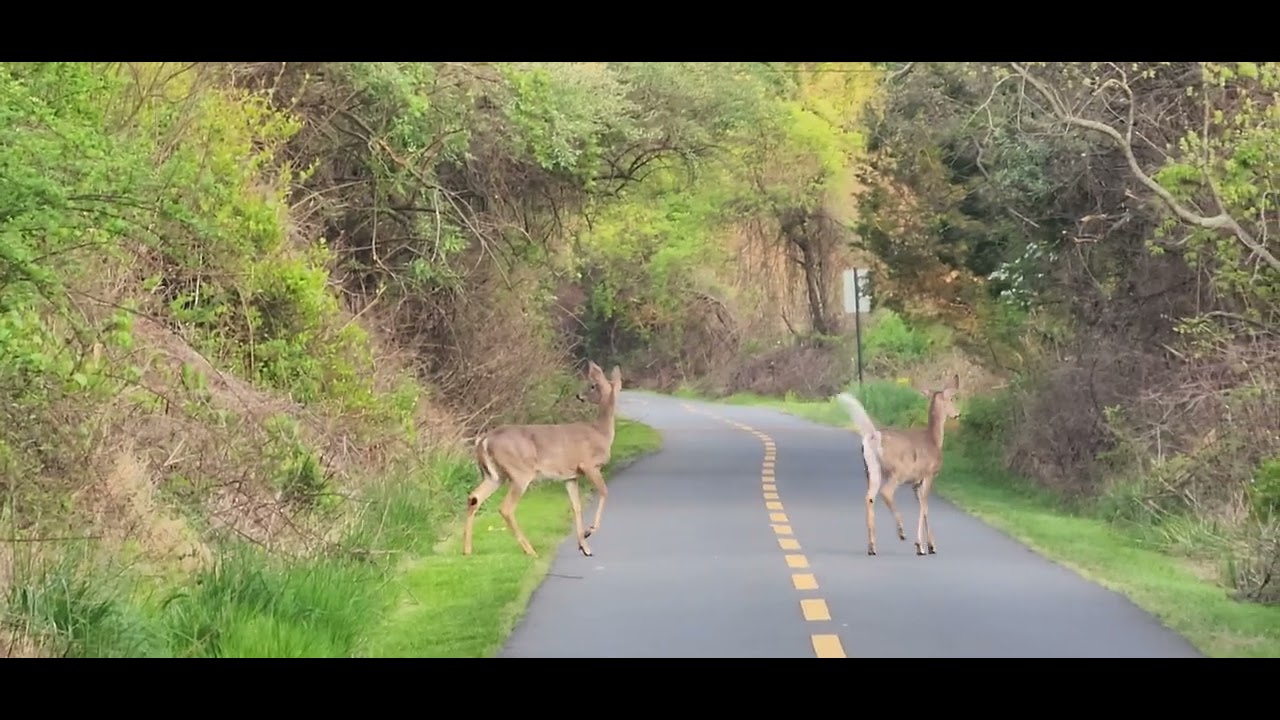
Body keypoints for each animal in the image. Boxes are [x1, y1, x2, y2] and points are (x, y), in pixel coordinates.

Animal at [462, 361, 623, 559]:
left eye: (592, 385)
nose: (579, 396)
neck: (601, 432)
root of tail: (483, 440)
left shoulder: (571, 476)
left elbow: (576, 506)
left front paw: (584, 547)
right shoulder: (589, 465)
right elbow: (604, 492)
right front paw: (589, 531)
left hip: (494, 475)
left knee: (474, 497)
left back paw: (467, 550)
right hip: (520, 472)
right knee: (506, 508)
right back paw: (530, 550)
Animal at [835, 374, 960, 558]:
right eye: (952, 399)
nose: (958, 413)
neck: (934, 440)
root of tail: (874, 436)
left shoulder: (916, 483)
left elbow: (923, 508)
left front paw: (929, 545)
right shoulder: (928, 475)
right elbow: (925, 507)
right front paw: (922, 546)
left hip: (871, 469)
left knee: (869, 497)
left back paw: (872, 546)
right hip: (898, 471)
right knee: (886, 492)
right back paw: (901, 532)